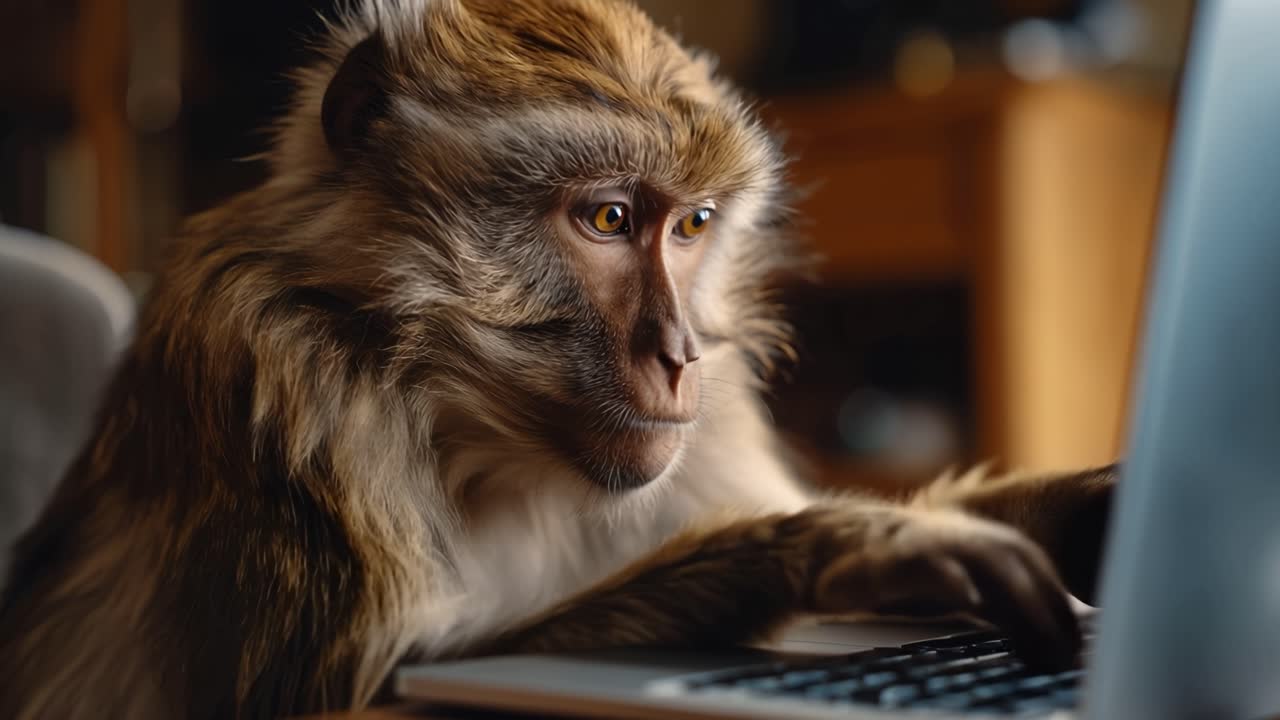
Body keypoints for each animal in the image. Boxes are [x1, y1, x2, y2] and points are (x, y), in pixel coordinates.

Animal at [0, 1, 1118, 718]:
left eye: (692, 226)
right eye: (609, 218)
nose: (679, 355)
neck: (482, 444)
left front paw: (1085, 513)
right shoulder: (267, 369)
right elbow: (373, 685)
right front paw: (843, 544)